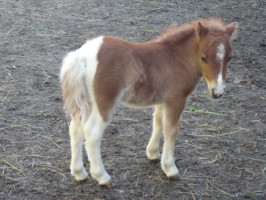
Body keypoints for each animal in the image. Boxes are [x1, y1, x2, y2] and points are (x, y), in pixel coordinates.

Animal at [59, 18, 237, 186]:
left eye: (229, 58)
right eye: (203, 57)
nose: (218, 92)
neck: (176, 58)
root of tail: (83, 55)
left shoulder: (162, 100)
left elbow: (158, 122)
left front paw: (153, 154)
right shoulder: (176, 99)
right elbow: (171, 129)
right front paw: (170, 168)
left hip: (87, 102)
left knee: (76, 128)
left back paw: (79, 173)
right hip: (104, 103)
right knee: (91, 132)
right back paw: (102, 177)